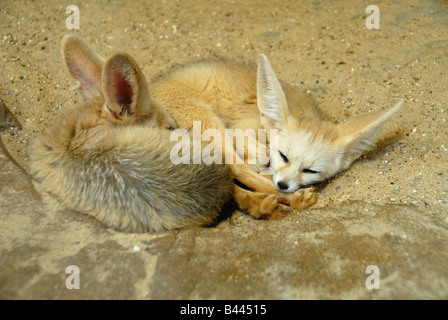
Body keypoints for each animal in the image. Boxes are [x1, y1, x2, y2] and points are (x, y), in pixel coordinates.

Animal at [30, 35, 402, 234]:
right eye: (284, 155)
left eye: (310, 170)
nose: (285, 184)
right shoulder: (240, 134)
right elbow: (254, 161)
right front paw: (272, 177)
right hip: (209, 125)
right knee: (235, 169)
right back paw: (274, 199)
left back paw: (265, 203)